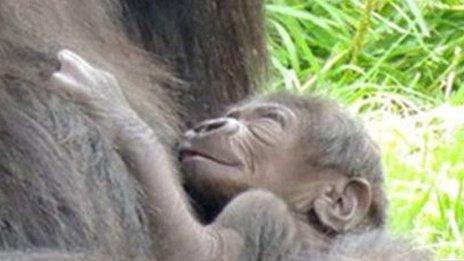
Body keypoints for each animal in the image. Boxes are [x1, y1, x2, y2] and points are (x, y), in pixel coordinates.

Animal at [49, 49, 428, 258]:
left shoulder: (261, 210)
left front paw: (112, 108)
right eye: (234, 116)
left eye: (268, 121)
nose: (210, 125)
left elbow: (194, 251)